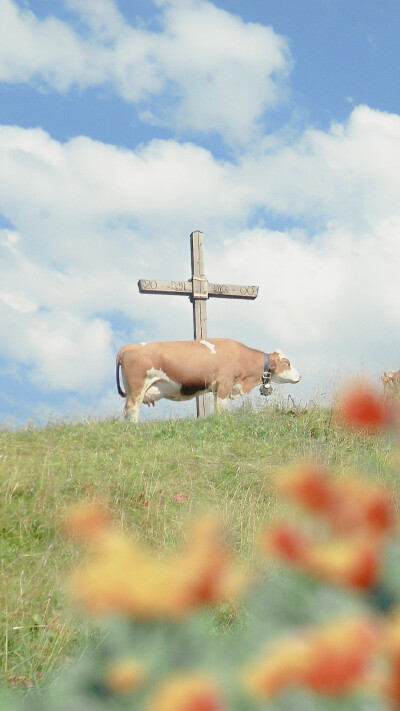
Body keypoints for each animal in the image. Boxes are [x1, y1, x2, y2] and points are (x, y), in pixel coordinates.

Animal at [115, 338, 300, 422]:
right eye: (288, 362)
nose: (300, 376)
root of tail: (129, 346)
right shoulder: (224, 383)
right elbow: (222, 406)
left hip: (132, 388)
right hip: (138, 386)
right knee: (132, 407)